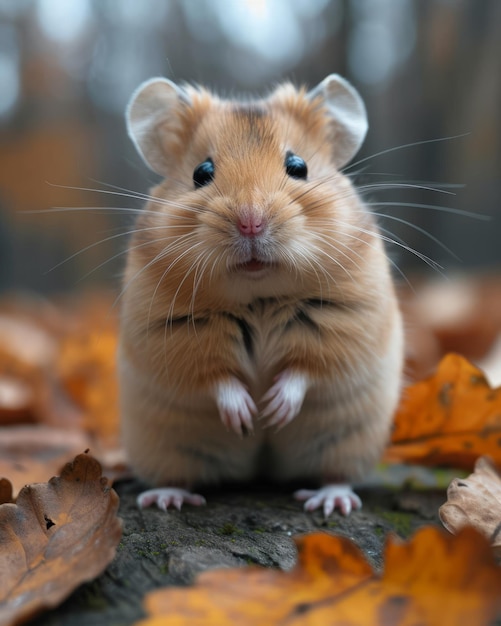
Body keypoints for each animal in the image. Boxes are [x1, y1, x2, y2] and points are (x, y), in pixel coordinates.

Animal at [119, 73, 404, 516]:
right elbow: (217, 376)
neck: (259, 295)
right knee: (177, 476)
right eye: (201, 171)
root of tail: (261, 471)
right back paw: (167, 499)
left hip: (347, 438)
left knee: (336, 473)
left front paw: (273, 411)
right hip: (165, 445)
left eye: (298, 166)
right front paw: (247, 417)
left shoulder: (348, 319)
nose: (250, 222)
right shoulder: (173, 332)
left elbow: (305, 369)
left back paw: (330, 502)